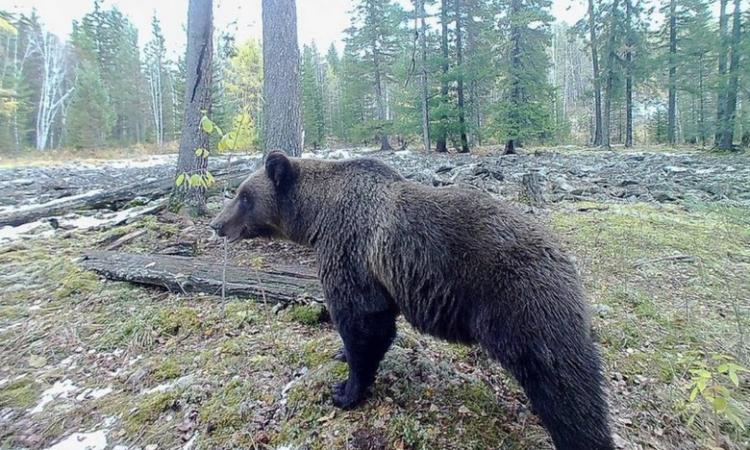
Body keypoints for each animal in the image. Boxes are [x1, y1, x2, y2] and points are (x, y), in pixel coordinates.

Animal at [210, 151, 616, 450]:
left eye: (242, 195)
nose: (217, 224)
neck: (316, 218)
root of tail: (564, 259)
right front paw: (340, 354)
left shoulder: (350, 250)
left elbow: (363, 321)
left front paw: (345, 391)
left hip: (521, 303)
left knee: (565, 385)